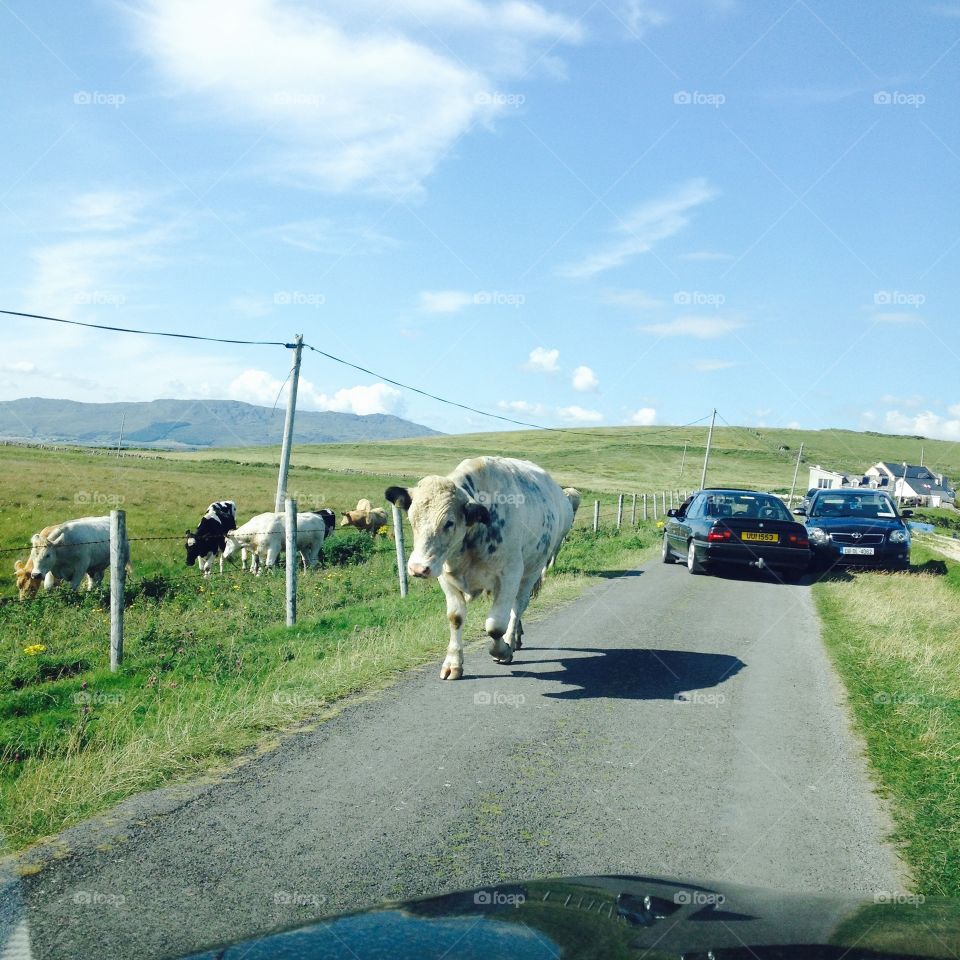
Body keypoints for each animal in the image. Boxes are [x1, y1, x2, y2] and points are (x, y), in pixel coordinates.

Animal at [386, 460, 580, 680]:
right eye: (412, 519)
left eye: (449, 522)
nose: (418, 568)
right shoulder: (445, 577)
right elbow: (455, 618)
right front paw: (453, 663)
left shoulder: (509, 576)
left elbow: (495, 626)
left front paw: (502, 651)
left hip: (531, 572)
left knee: (517, 608)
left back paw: (511, 639)